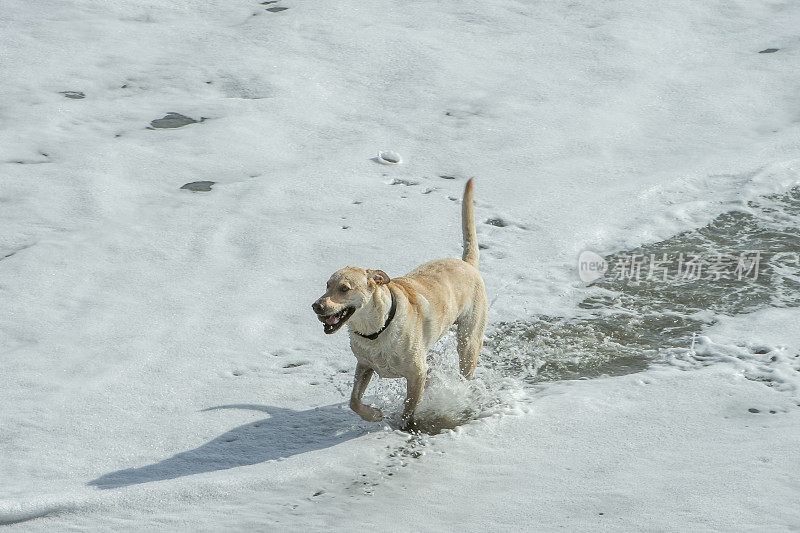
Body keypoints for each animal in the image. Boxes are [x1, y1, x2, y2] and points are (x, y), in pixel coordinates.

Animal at [312, 179, 488, 428]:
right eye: (327, 285)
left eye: (344, 288)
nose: (316, 306)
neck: (376, 330)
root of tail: (468, 264)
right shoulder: (363, 365)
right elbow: (354, 401)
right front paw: (374, 415)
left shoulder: (416, 373)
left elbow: (409, 407)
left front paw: (404, 425)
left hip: (468, 341)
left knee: (465, 370)